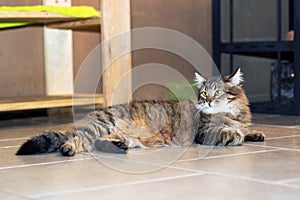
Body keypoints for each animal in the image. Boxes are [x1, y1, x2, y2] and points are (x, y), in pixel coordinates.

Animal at [16, 68, 264, 157]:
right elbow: (229, 134)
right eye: (204, 93)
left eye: (218, 92)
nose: (209, 102)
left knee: (99, 143)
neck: (232, 115)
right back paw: (68, 149)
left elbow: (246, 131)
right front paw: (236, 135)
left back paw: (119, 146)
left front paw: (255, 134)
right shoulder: (204, 133)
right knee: (77, 140)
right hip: (100, 126)